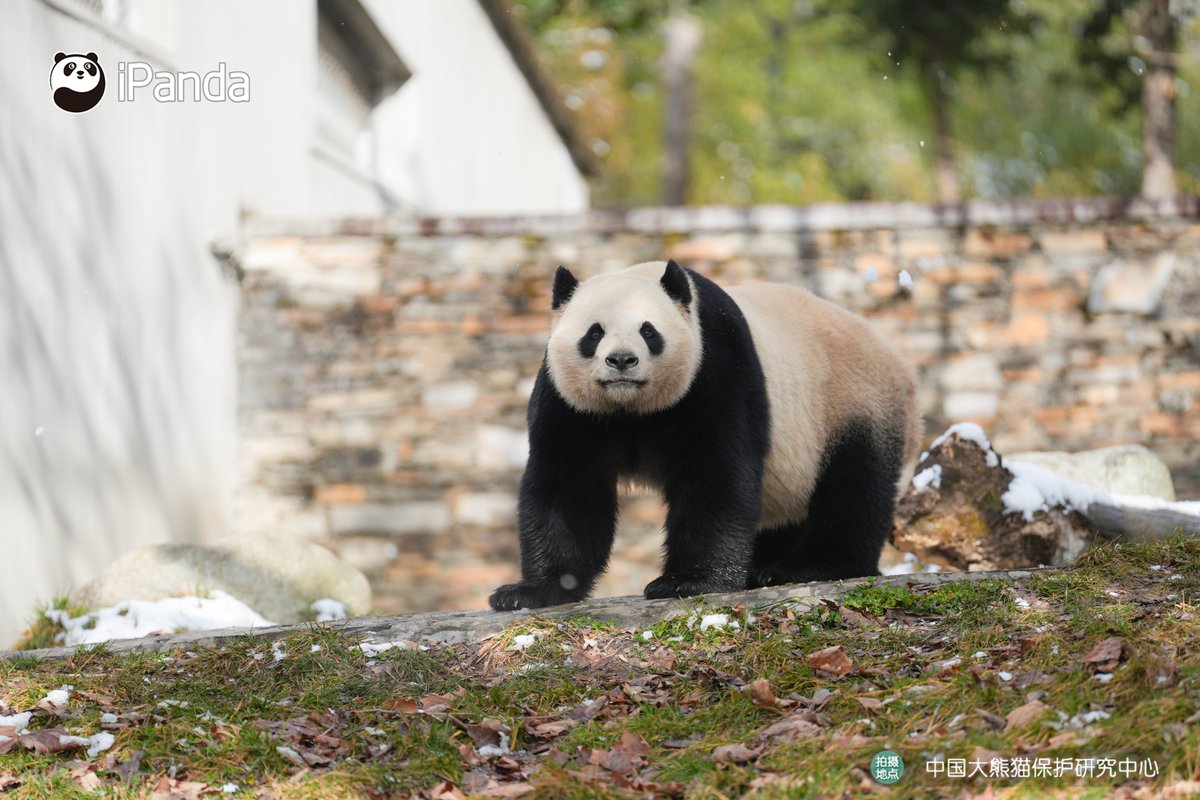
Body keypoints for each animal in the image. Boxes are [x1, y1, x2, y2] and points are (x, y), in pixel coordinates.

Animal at [489, 260, 920, 611]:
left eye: (648, 331)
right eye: (594, 333)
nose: (622, 360)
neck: (630, 408)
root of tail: (899, 362)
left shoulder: (714, 371)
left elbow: (716, 475)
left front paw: (686, 583)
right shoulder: (570, 406)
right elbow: (567, 487)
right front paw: (532, 591)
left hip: (851, 401)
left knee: (855, 487)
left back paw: (810, 567)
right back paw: (763, 567)